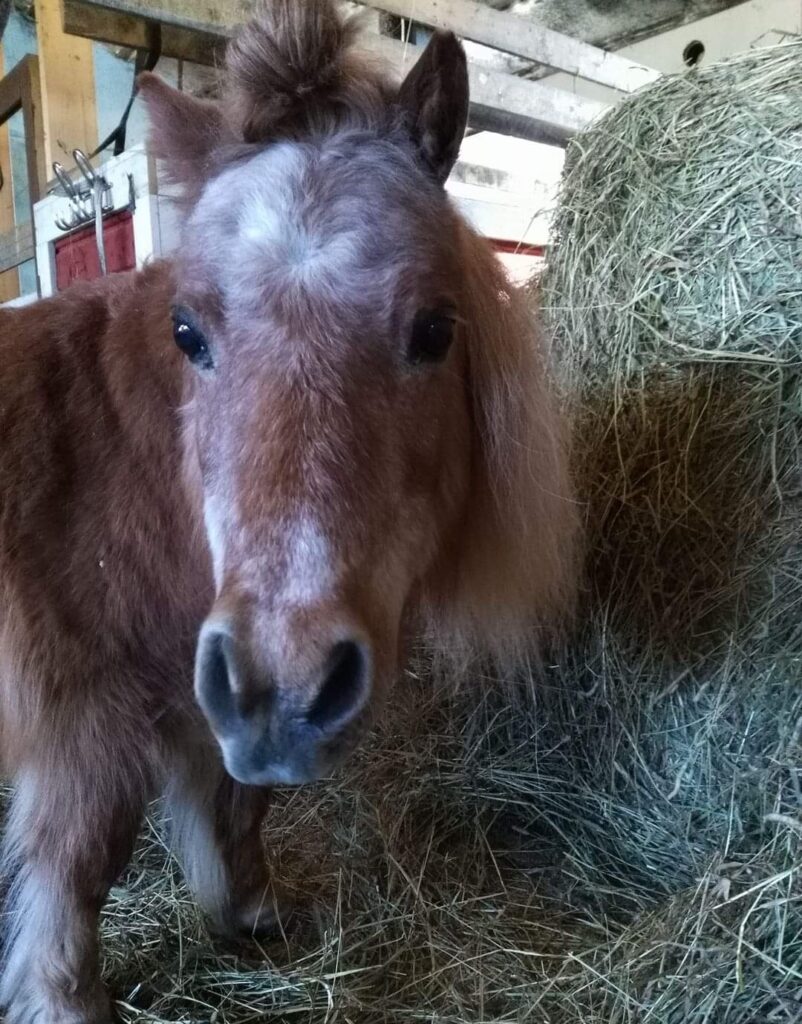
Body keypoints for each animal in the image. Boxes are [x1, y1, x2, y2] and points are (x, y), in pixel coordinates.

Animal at [0, 4, 577, 1019]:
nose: (284, 687)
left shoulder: (195, 700)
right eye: (187, 333)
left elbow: (235, 806)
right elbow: (79, 871)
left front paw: (252, 913)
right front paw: (67, 1000)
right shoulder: (83, 733)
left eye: (437, 329)